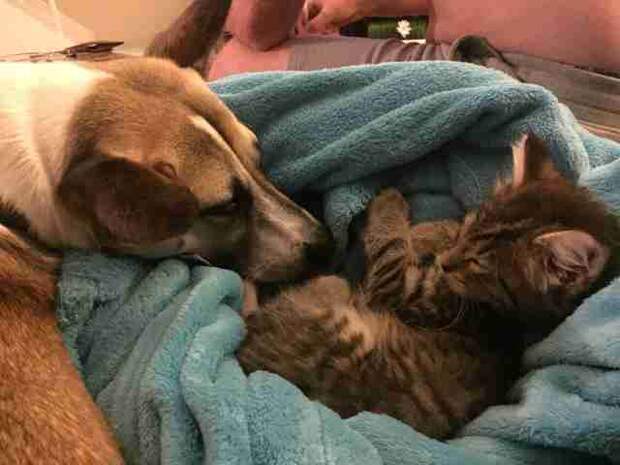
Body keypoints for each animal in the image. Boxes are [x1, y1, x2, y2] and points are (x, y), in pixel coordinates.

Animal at [236, 137, 616, 438]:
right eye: (469, 226)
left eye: (478, 264)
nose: (446, 263)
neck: (503, 317)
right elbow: (436, 233)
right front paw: (429, 233)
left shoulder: (403, 290)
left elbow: (391, 247)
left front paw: (392, 204)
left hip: (331, 292)